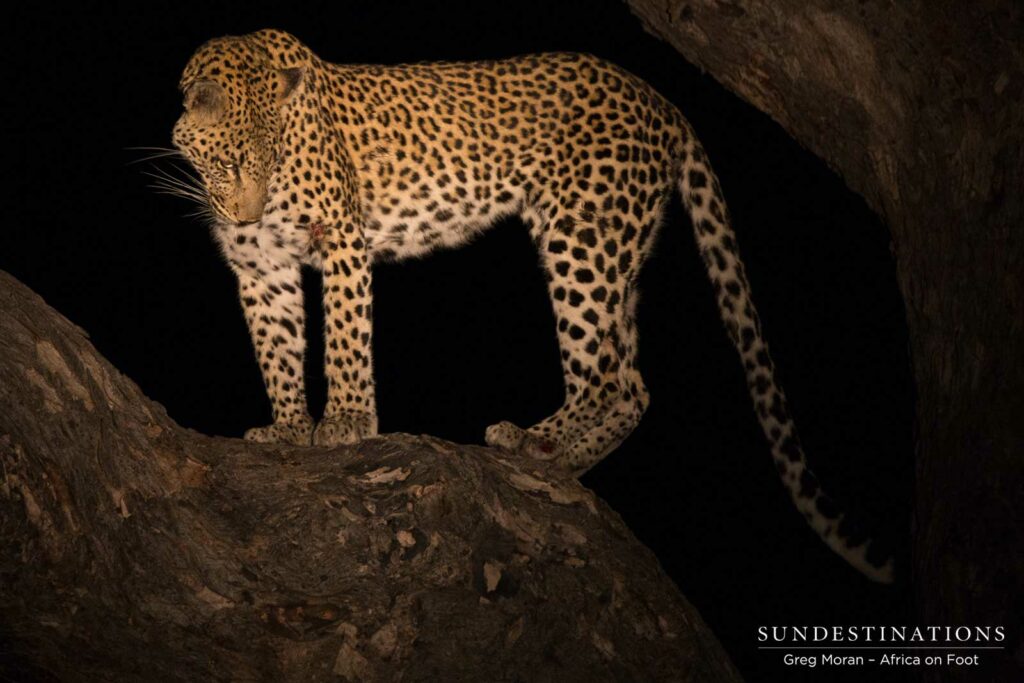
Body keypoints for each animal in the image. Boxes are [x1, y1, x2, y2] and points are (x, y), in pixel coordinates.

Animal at [168, 29, 893, 582]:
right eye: (233, 162)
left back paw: (533, 439)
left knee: (605, 377)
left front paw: (346, 421)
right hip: (615, 250)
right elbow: (277, 347)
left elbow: (345, 337)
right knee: (630, 381)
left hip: (581, 237)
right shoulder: (260, 265)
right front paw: (289, 427)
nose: (247, 212)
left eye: (273, 158)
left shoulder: (341, 236)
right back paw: (560, 460)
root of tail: (662, 99)